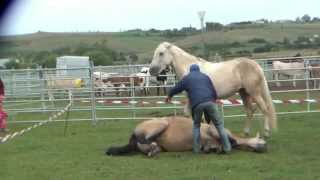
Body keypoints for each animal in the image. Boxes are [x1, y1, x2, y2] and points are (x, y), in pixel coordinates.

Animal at [106, 116, 266, 156]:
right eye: (261, 138)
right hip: (161, 124)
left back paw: (152, 150)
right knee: (146, 139)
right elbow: (229, 140)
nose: (264, 147)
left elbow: (211, 148)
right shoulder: (213, 130)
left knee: (149, 147)